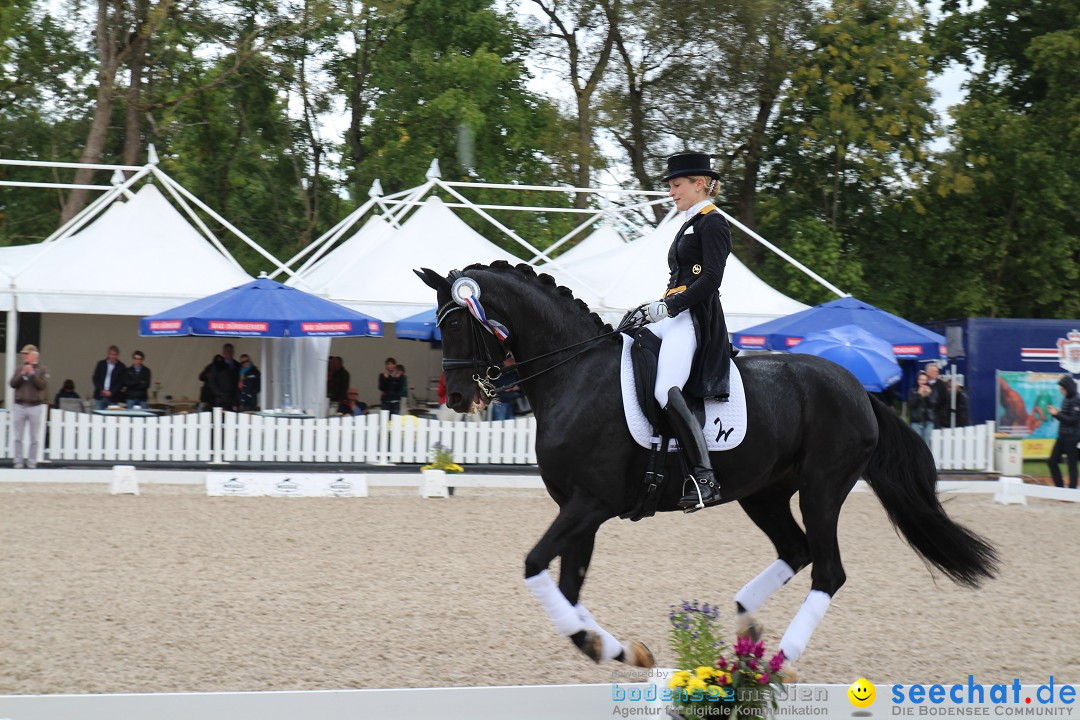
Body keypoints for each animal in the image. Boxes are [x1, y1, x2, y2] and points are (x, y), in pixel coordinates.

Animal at [414, 262, 993, 673]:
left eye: (460, 322)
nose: (460, 396)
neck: (574, 374)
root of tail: (857, 387)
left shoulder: (589, 505)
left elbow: (536, 566)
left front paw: (604, 646)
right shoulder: (580, 509)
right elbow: (571, 589)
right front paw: (618, 651)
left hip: (822, 489)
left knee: (827, 569)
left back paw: (777, 661)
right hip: (763, 493)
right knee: (796, 551)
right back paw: (746, 635)